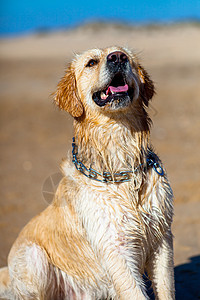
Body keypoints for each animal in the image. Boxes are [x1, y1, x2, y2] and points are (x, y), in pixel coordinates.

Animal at [0, 45, 174, 298]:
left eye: (125, 57)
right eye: (91, 62)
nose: (118, 58)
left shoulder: (162, 240)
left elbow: (166, 289)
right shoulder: (115, 247)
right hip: (34, 258)